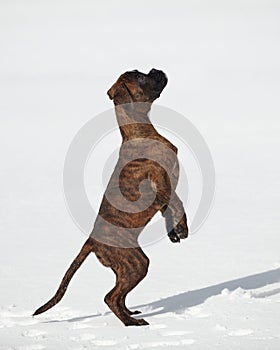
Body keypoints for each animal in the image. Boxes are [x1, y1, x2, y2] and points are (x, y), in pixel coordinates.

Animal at [34, 68, 189, 326]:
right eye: (141, 78)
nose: (157, 70)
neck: (139, 131)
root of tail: (92, 241)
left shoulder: (167, 190)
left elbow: (172, 208)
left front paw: (176, 232)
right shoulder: (161, 185)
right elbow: (176, 204)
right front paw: (180, 229)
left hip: (127, 268)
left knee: (118, 295)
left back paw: (131, 314)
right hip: (136, 264)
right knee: (111, 297)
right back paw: (132, 323)